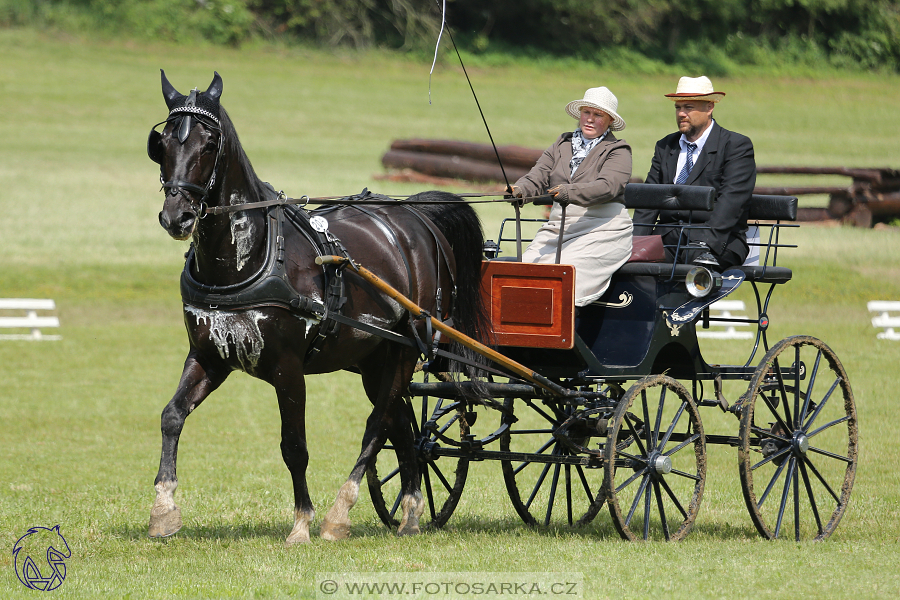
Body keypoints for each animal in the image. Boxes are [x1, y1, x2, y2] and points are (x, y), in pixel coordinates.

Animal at [149, 70, 488, 544]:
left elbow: (294, 447)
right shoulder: (208, 355)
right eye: (162, 143)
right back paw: (410, 513)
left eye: (210, 143)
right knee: (403, 428)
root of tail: (415, 215)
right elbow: (172, 416)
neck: (244, 257)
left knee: (378, 424)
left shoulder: (288, 368)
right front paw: (163, 508)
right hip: (375, 361)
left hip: (404, 352)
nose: (176, 216)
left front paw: (302, 522)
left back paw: (339, 513)